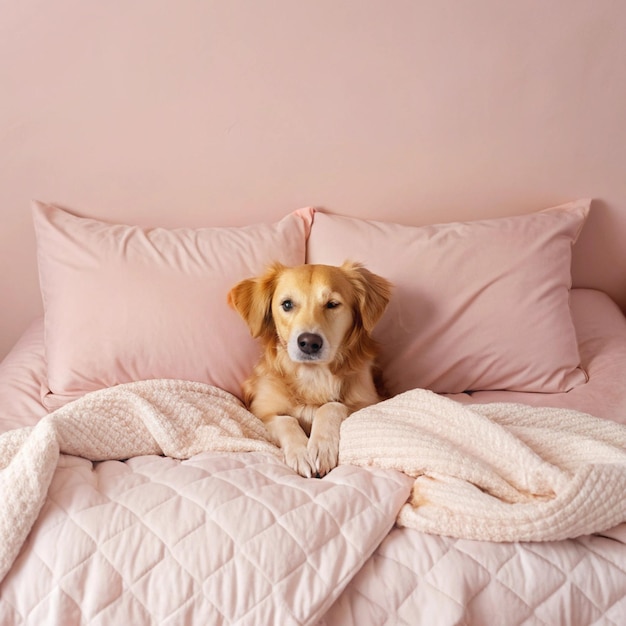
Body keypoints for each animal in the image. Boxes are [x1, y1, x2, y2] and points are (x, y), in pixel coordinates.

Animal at [227, 260, 388, 476]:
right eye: (287, 304)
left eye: (332, 304)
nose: (309, 343)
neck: (312, 374)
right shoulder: (261, 413)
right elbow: (287, 421)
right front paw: (301, 452)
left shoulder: (369, 402)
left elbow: (331, 406)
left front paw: (320, 447)